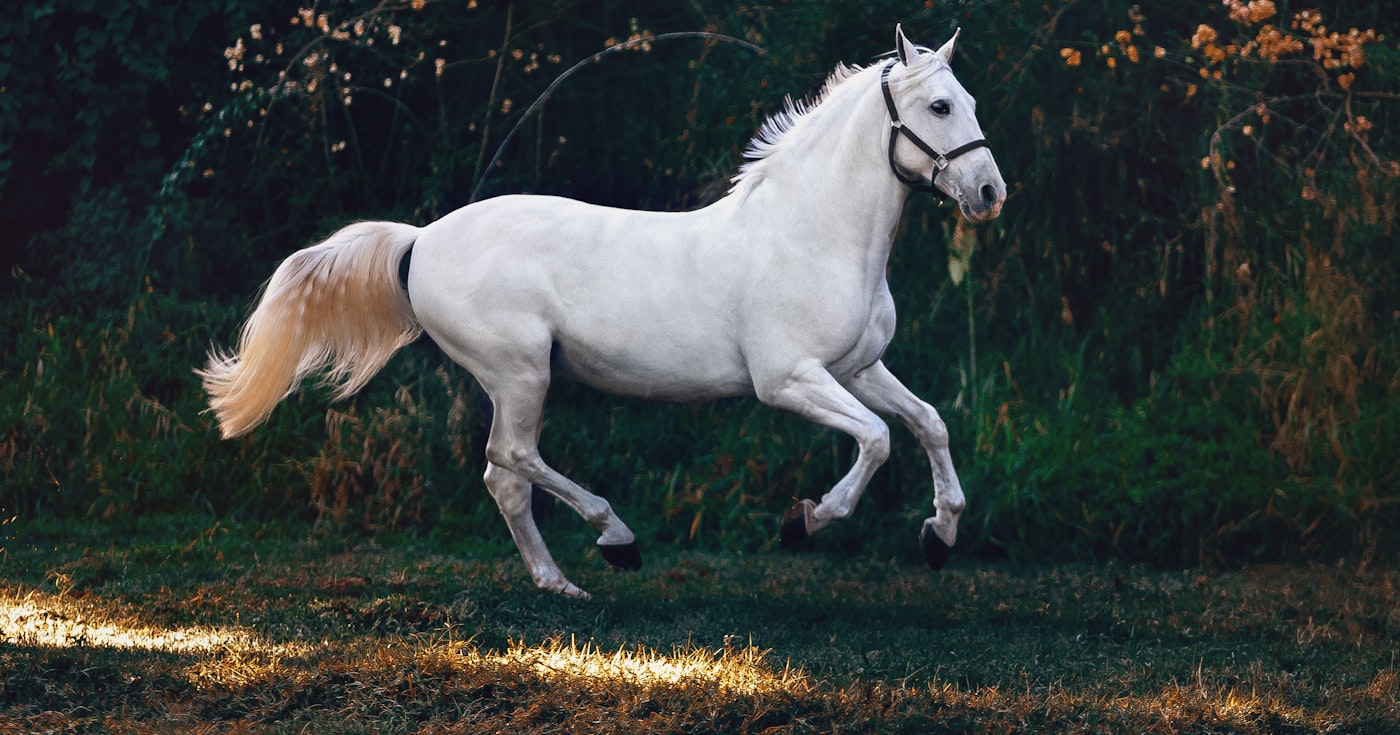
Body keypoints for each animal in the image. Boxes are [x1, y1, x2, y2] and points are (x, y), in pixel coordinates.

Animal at [199, 25, 1006, 598]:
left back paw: (560, 582)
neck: (813, 234)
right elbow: (876, 440)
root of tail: (420, 239)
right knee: (512, 459)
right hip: (521, 371)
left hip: (517, 379)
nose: (990, 192)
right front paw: (804, 521)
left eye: (971, 103)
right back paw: (616, 539)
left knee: (504, 477)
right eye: (939, 106)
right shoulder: (790, 380)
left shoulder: (859, 368)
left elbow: (928, 423)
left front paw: (939, 535)